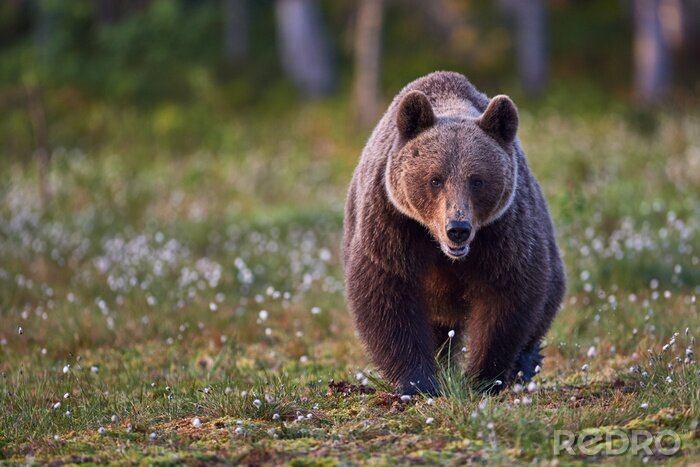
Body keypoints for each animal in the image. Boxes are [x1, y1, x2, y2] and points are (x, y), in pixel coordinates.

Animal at [342, 71, 566, 395]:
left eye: (477, 180)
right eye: (435, 179)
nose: (457, 229)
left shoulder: (502, 231)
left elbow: (506, 295)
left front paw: (482, 378)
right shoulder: (393, 222)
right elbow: (387, 292)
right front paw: (418, 381)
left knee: (546, 299)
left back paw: (525, 363)